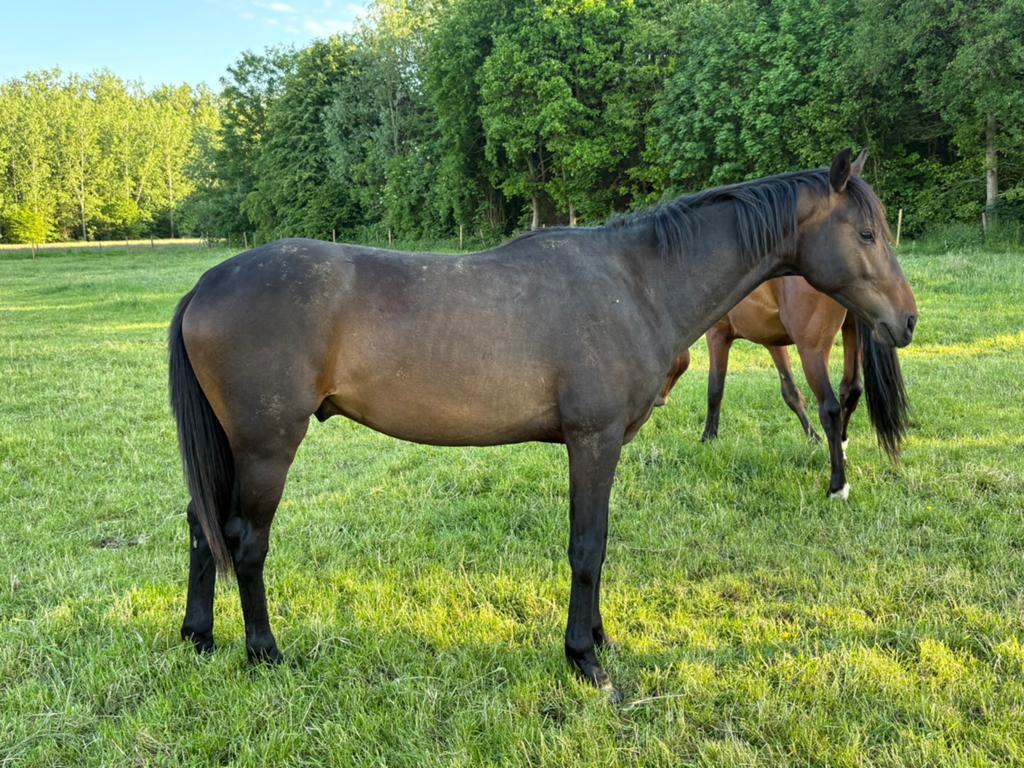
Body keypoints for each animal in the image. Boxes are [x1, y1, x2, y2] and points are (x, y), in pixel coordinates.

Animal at [169, 149, 916, 701]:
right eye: (867, 233)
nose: (906, 321)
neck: (635, 284)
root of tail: (205, 283)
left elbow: (598, 545)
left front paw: (602, 637)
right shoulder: (593, 441)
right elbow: (587, 548)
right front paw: (586, 659)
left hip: (233, 449)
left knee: (202, 527)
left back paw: (199, 638)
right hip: (267, 448)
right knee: (245, 542)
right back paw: (264, 653)